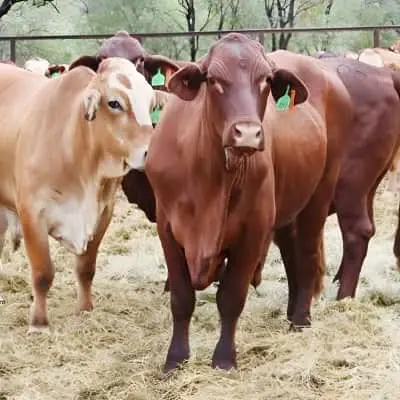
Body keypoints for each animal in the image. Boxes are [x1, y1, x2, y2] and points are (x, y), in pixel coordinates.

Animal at [0, 57, 166, 332]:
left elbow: (86, 268)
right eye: (114, 103)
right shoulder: (32, 213)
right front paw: (39, 323)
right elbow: (43, 273)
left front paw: (86, 309)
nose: (150, 153)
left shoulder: (104, 213)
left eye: (151, 103)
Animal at [144, 32, 354, 372]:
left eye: (265, 80)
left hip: (319, 194)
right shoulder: (167, 228)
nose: (247, 134)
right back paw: (291, 311)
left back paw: (300, 318)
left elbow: (231, 297)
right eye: (213, 80)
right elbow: (181, 298)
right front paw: (175, 359)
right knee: (292, 255)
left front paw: (224, 358)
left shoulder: (253, 230)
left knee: (307, 255)